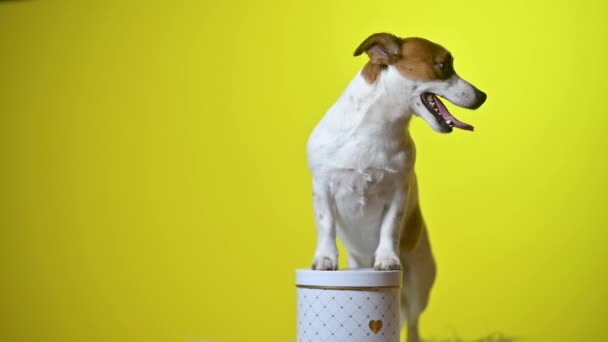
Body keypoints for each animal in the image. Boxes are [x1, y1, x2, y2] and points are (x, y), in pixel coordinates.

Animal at [306, 32, 486, 342]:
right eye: (443, 65)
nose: (483, 95)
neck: (375, 130)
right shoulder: (323, 187)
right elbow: (326, 224)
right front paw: (325, 259)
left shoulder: (397, 192)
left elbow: (388, 229)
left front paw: (387, 259)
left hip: (417, 286)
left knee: (412, 323)